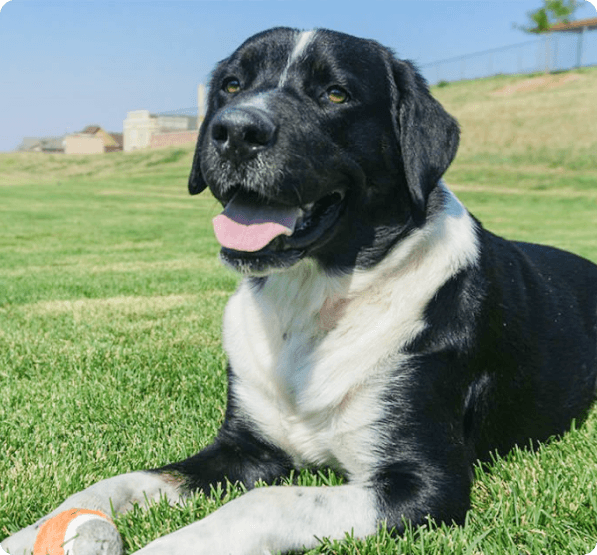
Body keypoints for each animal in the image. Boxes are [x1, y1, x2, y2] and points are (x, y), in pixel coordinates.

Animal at [3, 26, 596, 555]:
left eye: (335, 93)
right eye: (232, 85)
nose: (235, 131)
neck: (313, 302)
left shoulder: (425, 483)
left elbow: (269, 501)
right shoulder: (242, 447)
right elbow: (131, 477)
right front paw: (40, 528)